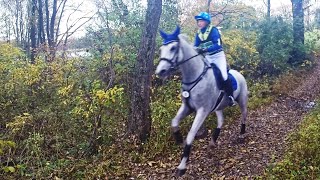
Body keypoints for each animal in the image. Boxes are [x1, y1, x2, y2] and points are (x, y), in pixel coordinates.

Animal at [155, 26, 250, 176]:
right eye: (161, 49)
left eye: (173, 48)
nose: (160, 71)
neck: (196, 77)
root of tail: (239, 74)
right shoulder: (187, 107)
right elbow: (174, 122)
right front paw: (178, 138)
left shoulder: (202, 111)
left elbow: (190, 135)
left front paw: (182, 166)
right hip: (218, 106)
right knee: (220, 121)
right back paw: (213, 141)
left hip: (242, 101)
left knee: (244, 116)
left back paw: (241, 135)